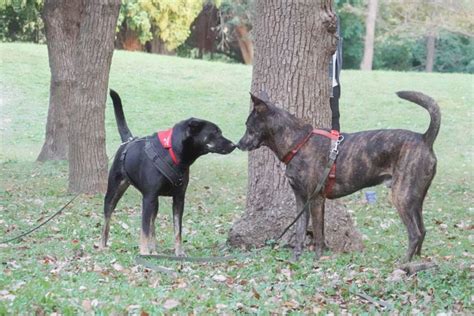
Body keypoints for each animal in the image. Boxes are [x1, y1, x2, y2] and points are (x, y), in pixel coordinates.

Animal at [101, 90, 235, 256]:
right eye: (215, 133)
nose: (234, 145)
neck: (173, 155)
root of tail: (128, 141)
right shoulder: (148, 197)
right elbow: (144, 229)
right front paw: (144, 252)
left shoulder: (179, 198)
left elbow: (177, 230)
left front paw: (179, 252)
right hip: (114, 191)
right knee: (107, 220)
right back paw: (102, 246)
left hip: (155, 202)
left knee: (152, 224)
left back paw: (154, 249)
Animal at [237, 90, 440, 262]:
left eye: (248, 125)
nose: (238, 144)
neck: (298, 143)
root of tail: (424, 139)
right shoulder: (302, 199)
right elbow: (301, 230)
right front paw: (296, 258)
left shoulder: (315, 199)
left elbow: (318, 234)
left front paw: (317, 259)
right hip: (415, 199)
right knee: (423, 230)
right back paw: (417, 261)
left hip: (401, 196)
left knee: (414, 233)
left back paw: (404, 263)